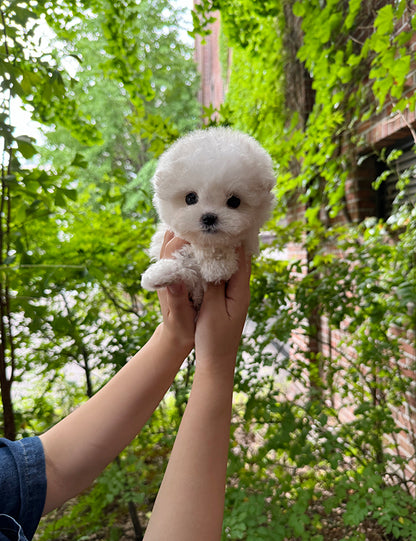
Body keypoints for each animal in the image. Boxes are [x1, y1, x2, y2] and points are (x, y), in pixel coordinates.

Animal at [141, 124, 276, 306]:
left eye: (234, 201)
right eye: (190, 198)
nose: (209, 217)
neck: (205, 243)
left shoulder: (245, 242)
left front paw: (216, 267)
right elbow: (184, 267)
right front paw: (159, 274)